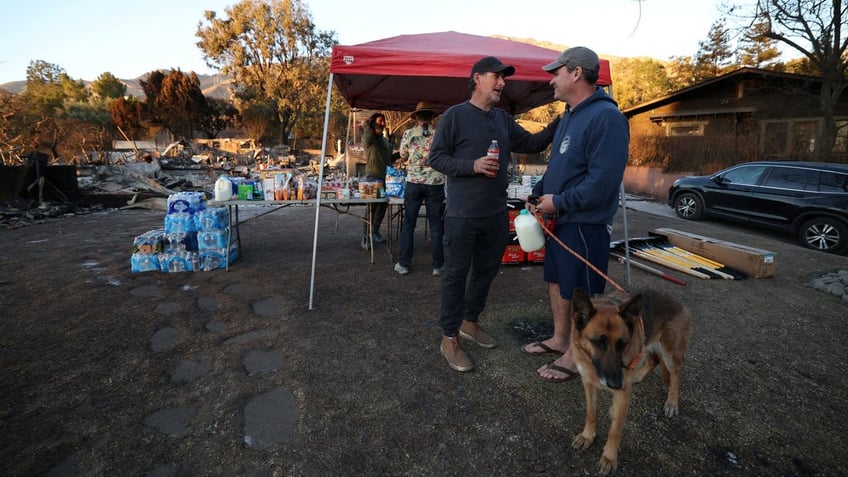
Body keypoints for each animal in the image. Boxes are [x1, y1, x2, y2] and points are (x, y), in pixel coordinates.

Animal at [568, 288, 688, 474]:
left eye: (622, 344)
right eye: (598, 342)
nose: (616, 383)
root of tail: (677, 300)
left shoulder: (622, 392)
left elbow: (615, 430)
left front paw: (609, 458)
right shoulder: (588, 384)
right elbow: (591, 413)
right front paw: (588, 436)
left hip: (670, 354)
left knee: (675, 375)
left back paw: (672, 403)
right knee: (653, 361)